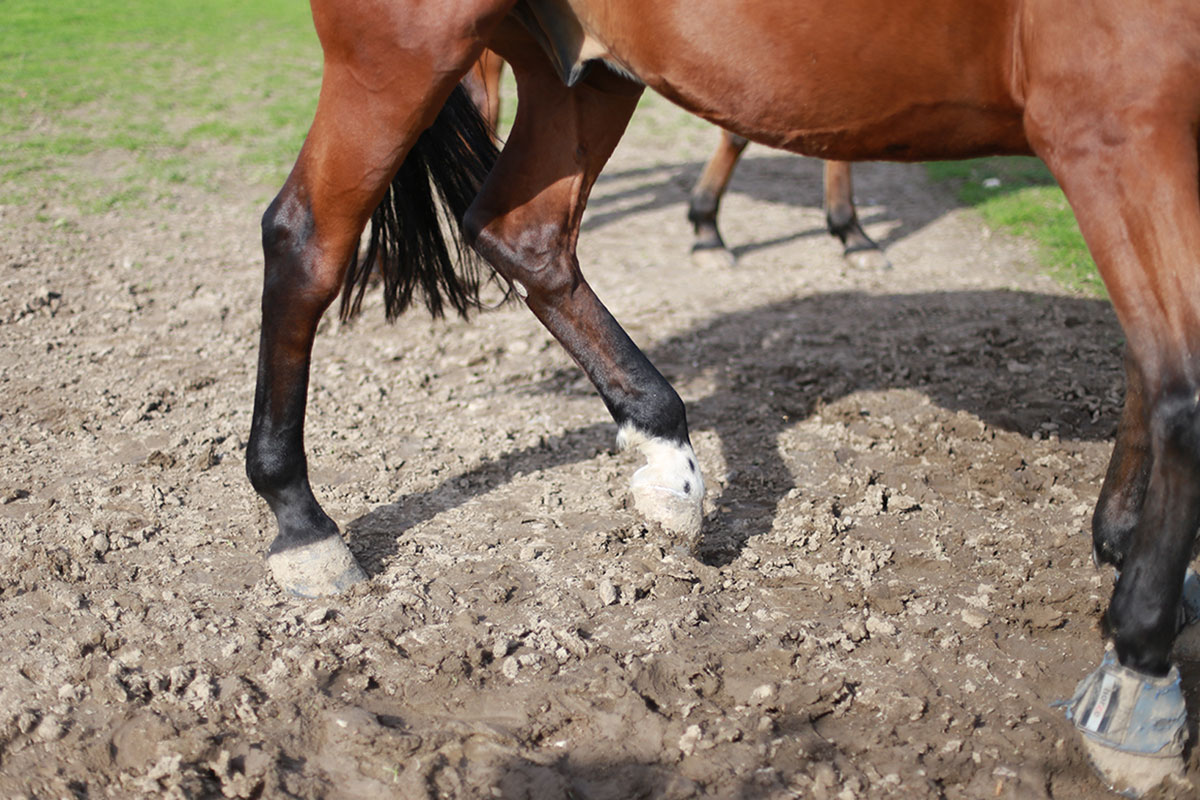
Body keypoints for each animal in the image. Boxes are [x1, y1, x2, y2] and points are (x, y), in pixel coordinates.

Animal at [243, 0, 1200, 791]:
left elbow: (1147, 362)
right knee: (307, 239)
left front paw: (1123, 549)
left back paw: (666, 452)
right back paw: (301, 518)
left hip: (580, 69)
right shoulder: (1114, 126)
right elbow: (1180, 390)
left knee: (524, 236)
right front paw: (1140, 670)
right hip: (404, 50)